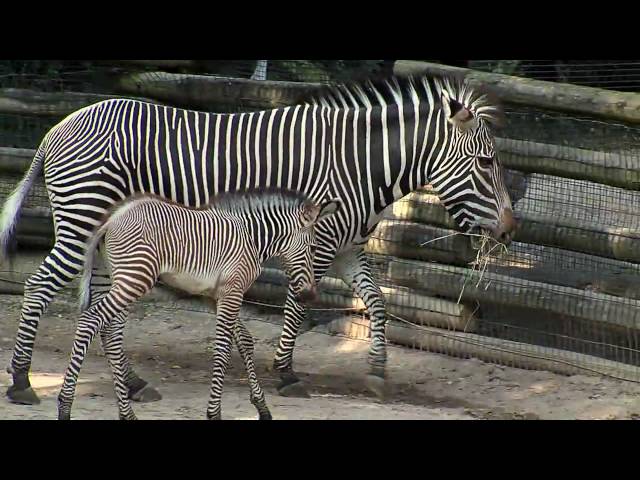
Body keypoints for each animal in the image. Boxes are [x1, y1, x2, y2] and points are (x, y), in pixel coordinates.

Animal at [58, 190, 340, 420]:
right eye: (314, 248)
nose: (310, 296)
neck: (252, 238)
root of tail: (113, 217)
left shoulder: (216, 294)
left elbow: (245, 341)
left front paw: (262, 408)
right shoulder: (232, 291)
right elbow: (223, 349)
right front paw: (214, 412)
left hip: (121, 279)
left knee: (111, 333)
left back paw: (127, 413)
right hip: (134, 279)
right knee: (91, 321)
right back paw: (65, 406)